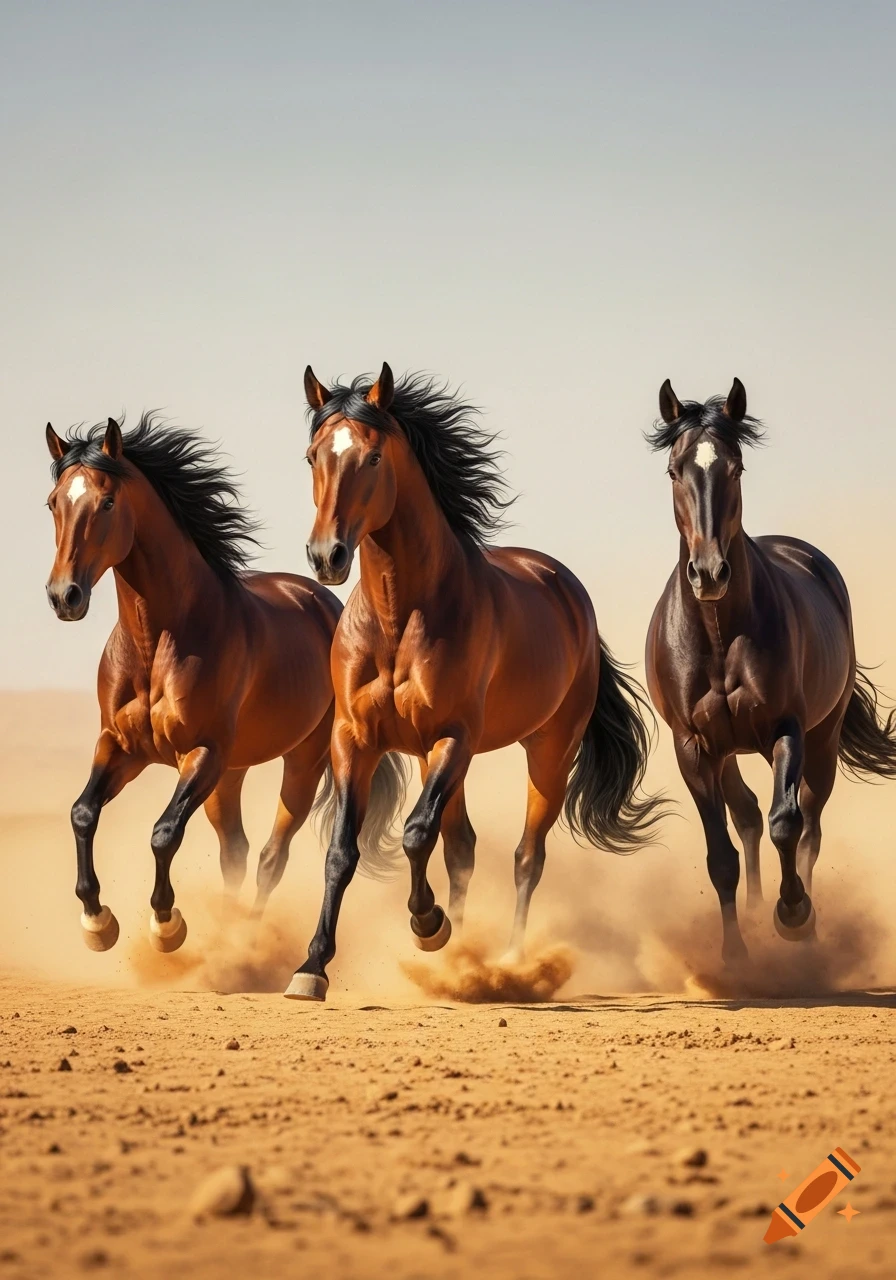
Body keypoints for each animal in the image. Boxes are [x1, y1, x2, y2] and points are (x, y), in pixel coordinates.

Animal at [45, 414, 405, 954]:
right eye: (54, 502)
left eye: (106, 502)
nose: (64, 595)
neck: (157, 643)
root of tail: (324, 602)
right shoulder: (121, 747)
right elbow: (83, 813)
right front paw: (97, 922)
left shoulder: (201, 754)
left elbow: (163, 833)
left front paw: (165, 924)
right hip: (230, 773)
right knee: (235, 850)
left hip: (301, 762)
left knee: (271, 856)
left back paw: (246, 942)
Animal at [283, 363, 665, 1001]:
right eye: (313, 455)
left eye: (373, 457)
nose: (326, 556)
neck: (400, 617)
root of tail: (566, 588)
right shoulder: (356, 739)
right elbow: (343, 851)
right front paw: (311, 966)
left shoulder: (455, 736)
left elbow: (416, 834)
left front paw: (427, 924)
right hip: (428, 754)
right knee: (462, 847)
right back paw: (460, 957)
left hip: (546, 752)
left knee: (525, 856)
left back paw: (506, 960)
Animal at [645, 378, 896, 968]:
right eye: (673, 470)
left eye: (735, 467)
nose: (709, 573)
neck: (718, 635)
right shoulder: (694, 748)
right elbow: (721, 855)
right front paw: (736, 954)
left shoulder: (786, 729)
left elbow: (789, 824)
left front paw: (794, 915)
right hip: (729, 752)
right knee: (748, 816)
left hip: (821, 740)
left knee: (808, 824)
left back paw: (801, 920)